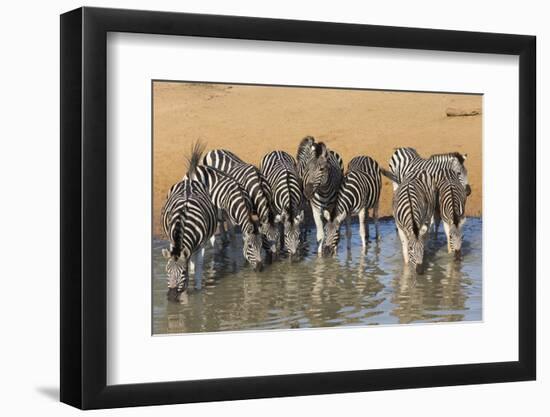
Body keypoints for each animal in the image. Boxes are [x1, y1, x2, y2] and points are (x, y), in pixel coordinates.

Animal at [161, 141, 217, 300]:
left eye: (182, 273)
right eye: (167, 271)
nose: (171, 297)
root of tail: (190, 181)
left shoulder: (202, 245)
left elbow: (198, 270)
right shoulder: (172, 241)